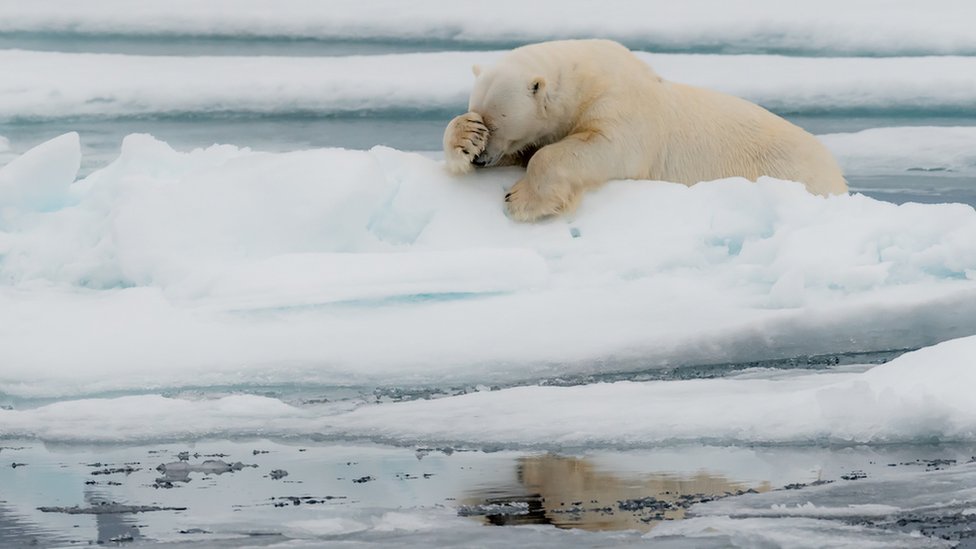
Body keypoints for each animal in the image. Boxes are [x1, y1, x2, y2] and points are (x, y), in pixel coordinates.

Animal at [442, 38, 848, 223]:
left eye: (498, 123)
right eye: (480, 116)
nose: (481, 160)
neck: (587, 79)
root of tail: (838, 176)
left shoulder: (621, 108)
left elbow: (600, 147)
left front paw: (521, 199)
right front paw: (464, 138)